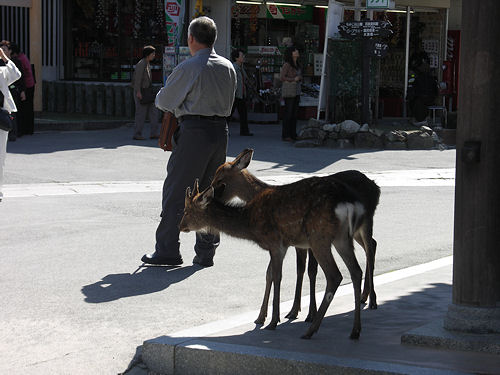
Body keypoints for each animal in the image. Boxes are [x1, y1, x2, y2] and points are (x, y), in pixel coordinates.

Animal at [180, 178, 368, 340]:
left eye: (186, 210)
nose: (180, 226)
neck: (250, 224)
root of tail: (350, 203)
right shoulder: (277, 247)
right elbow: (268, 274)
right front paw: (260, 318)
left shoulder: (276, 243)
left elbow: (277, 277)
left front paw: (272, 322)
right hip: (342, 238)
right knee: (356, 271)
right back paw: (355, 330)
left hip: (319, 236)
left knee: (335, 275)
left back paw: (311, 330)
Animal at [210, 148, 378, 324]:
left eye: (219, 179)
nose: (210, 197)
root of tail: (375, 185)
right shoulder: (293, 244)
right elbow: (283, 271)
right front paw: (274, 314)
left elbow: (310, 271)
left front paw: (310, 313)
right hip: (353, 232)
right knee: (372, 244)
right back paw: (364, 296)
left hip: (367, 221)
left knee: (369, 246)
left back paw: (372, 300)